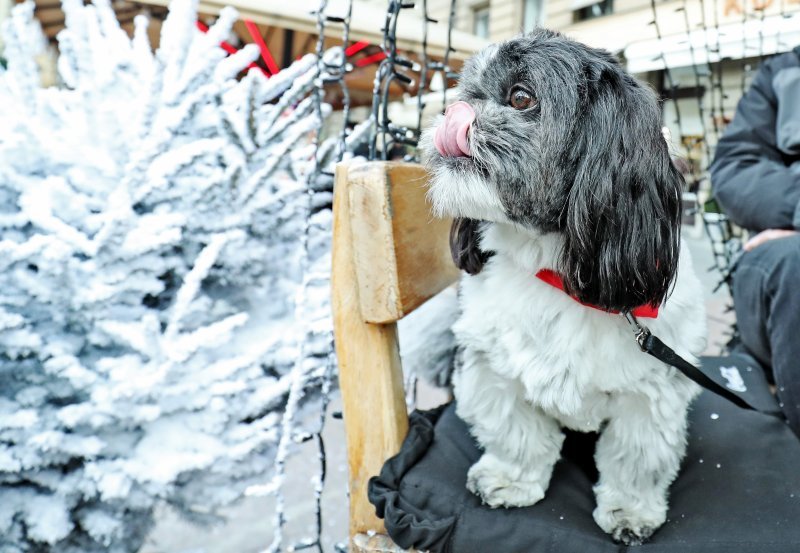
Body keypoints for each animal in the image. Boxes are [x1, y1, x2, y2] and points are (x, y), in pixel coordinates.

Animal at [422, 29, 704, 544]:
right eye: (465, 91)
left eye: (521, 97)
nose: (454, 111)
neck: (553, 275)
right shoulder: (494, 369)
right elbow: (515, 432)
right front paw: (510, 479)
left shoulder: (649, 394)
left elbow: (636, 458)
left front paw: (630, 511)